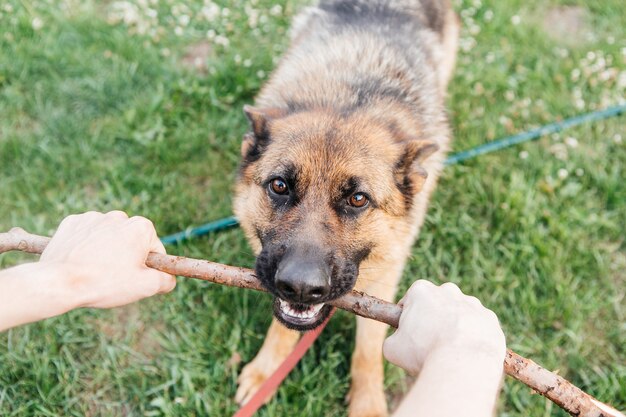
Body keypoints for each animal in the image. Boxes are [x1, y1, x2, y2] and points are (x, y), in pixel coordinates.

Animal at [232, 1, 456, 414]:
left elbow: (369, 347)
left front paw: (367, 401)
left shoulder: (384, 279)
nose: (300, 288)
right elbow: (280, 327)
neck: (352, 99)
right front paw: (266, 371)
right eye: (279, 186)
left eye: (357, 199)